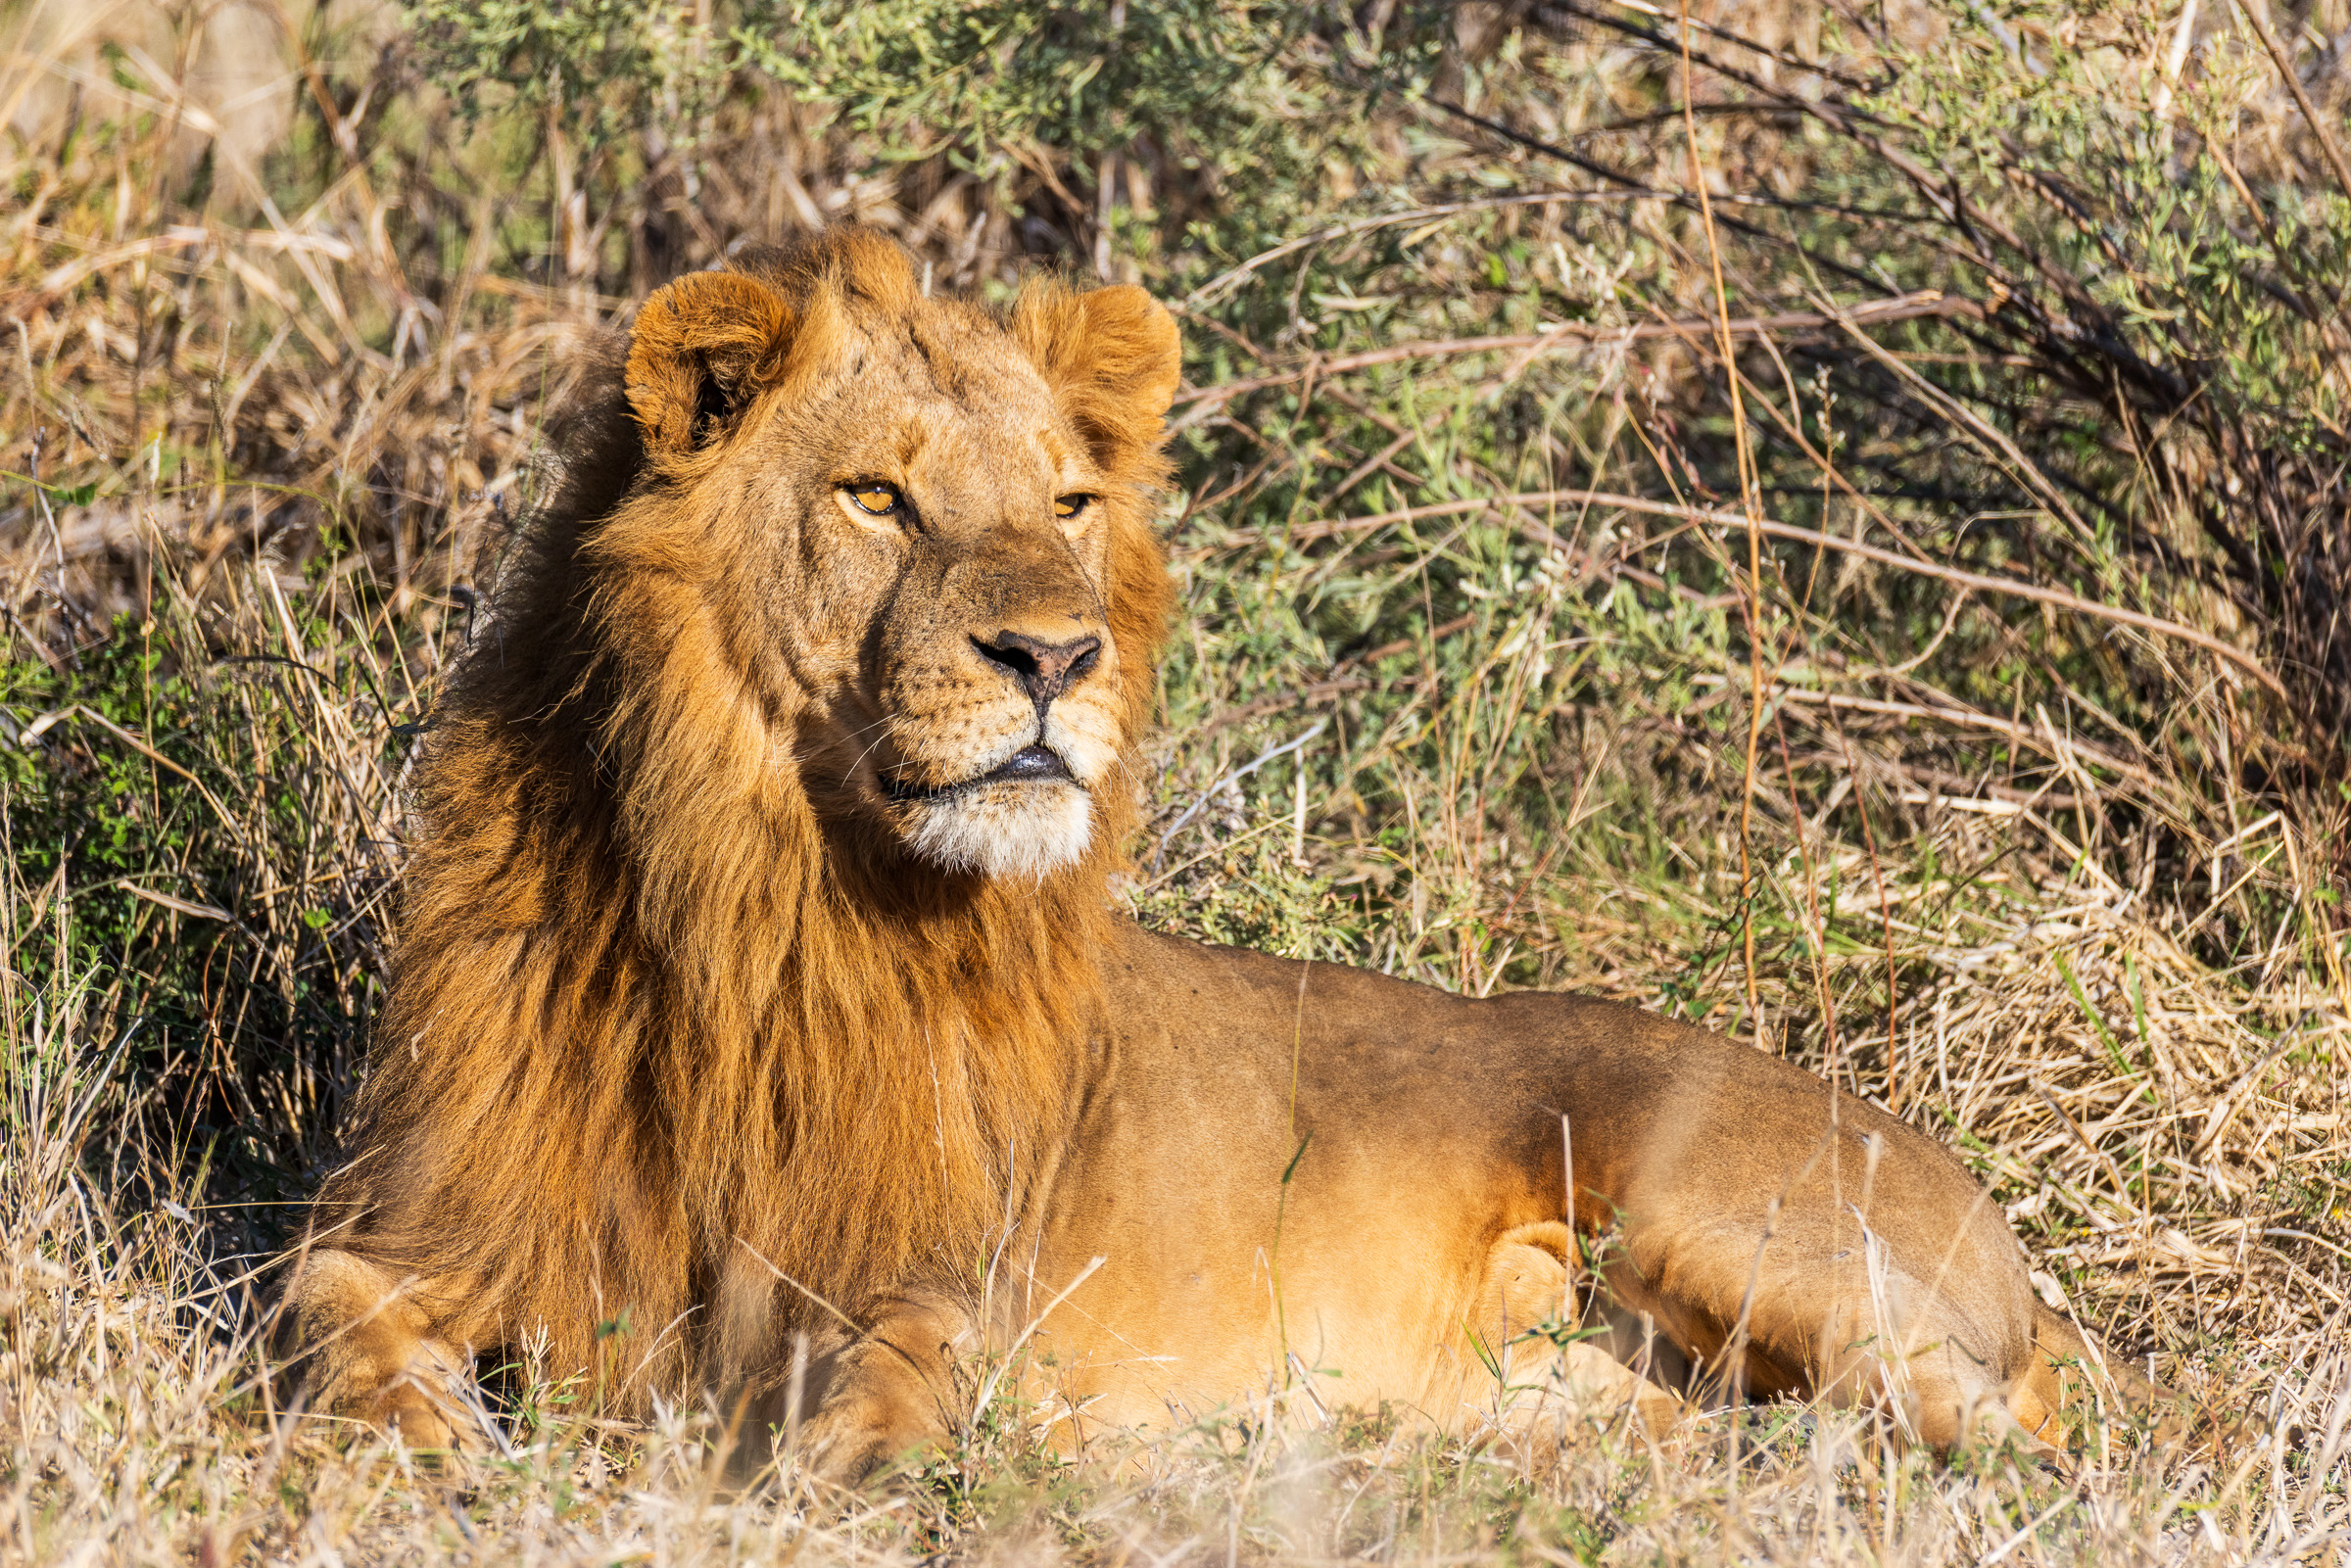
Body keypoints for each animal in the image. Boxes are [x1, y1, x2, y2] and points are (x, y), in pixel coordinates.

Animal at [283, 228, 2167, 1480]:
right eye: (878, 497)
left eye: (1068, 504)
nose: (1058, 656)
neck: (761, 894)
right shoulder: (423, 1225)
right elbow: (329, 1326)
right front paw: (419, 1457)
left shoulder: (929, 1278)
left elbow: (872, 1418)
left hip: (1729, 1226)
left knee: (2021, 1429)